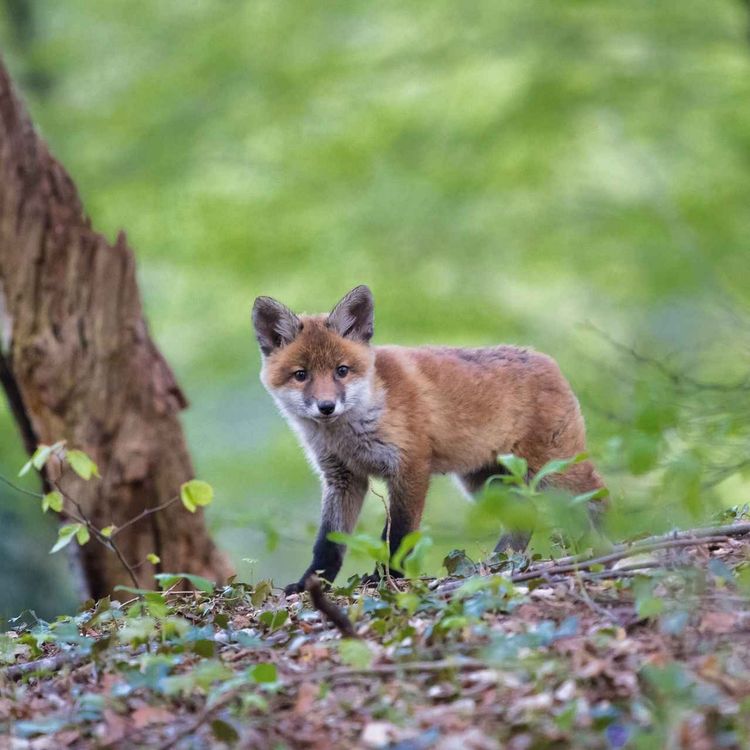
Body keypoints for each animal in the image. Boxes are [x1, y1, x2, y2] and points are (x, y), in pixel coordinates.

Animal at [251, 284, 604, 596]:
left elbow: (399, 535)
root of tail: (546, 359)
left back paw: (601, 548)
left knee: (598, 497)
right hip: (486, 484)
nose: (326, 407)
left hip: (554, 472)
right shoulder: (343, 478)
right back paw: (496, 565)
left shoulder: (410, 467)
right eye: (301, 375)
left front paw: (387, 578)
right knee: (523, 521)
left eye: (342, 370)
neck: (351, 432)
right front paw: (312, 583)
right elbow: (328, 544)